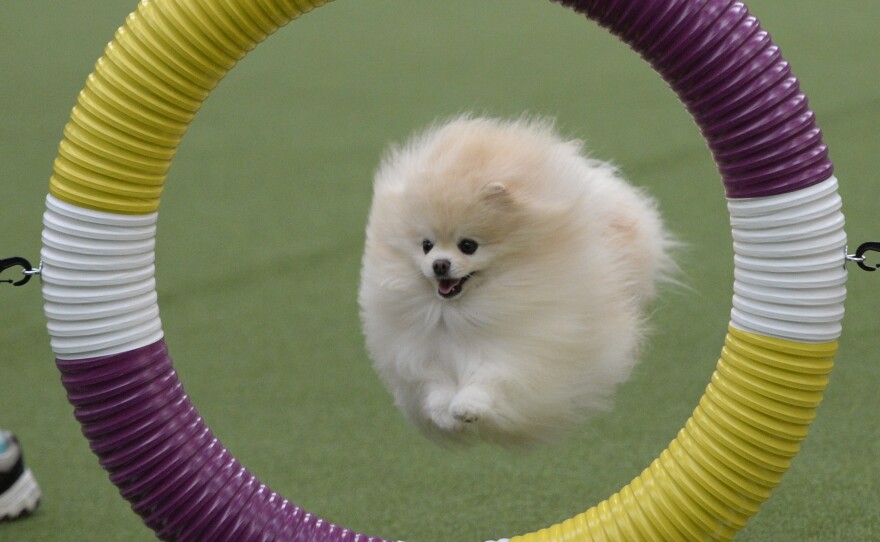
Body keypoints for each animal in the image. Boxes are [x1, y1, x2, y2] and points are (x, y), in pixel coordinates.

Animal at [358, 116, 672, 446]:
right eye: (426, 245)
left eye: (468, 245)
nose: (439, 265)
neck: (458, 313)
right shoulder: (418, 351)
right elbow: (435, 383)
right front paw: (444, 412)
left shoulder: (518, 350)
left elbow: (491, 377)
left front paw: (467, 407)